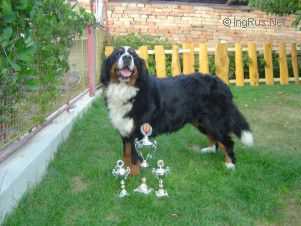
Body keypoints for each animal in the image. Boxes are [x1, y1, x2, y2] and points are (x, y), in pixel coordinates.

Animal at [101, 46, 253, 176]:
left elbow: (133, 157)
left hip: (213, 121)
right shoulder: (125, 131)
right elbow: (126, 154)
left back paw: (230, 164)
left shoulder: (137, 132)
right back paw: (209, 150)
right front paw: (123, 170)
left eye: (133, 55)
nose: (127, 58)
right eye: (118, 54)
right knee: (215, 138)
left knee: (227, 141)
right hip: (202, 121)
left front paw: (133, 176)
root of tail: (223, 84)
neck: (126, 89)